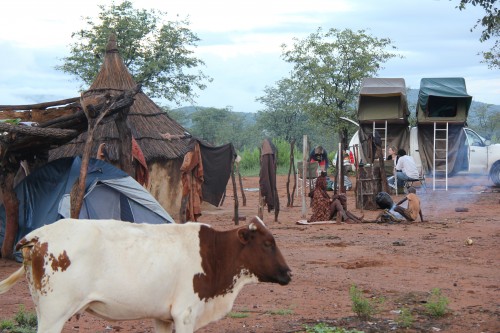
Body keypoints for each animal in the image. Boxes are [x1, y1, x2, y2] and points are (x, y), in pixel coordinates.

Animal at [0, 214, 292, 330]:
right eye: (268, 243)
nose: (289, 273)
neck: (214, 255)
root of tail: (39, 235)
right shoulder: (185, 315)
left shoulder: (163, 318)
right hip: (53, 315)